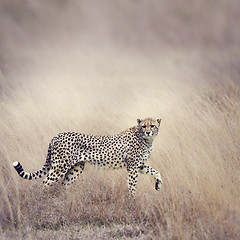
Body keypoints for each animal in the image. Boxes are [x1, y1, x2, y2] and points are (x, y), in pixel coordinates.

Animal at [13, 118, 163, 197]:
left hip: (76, 168)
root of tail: (56, 135)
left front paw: (158, 184)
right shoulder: (132, 167)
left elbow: (156, 171)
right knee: (44, 183)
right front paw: (133, 202)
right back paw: (42, 203)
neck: (147, 140)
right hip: (59, 167)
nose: (148, 132)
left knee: (63, 185)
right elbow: (132, 186)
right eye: (144, 126)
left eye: (152, 125)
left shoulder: (139, 165)